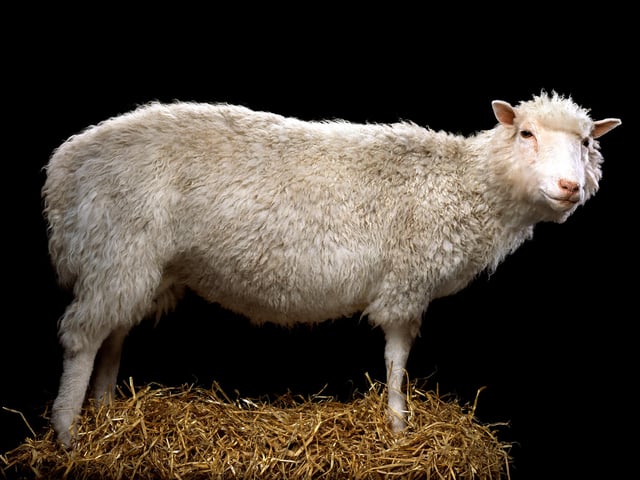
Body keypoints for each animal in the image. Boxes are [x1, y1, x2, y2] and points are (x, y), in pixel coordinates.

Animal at [42, 91, 621, 447]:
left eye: (587, 143)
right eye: (525, 134)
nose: (569, 187)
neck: (462, 185)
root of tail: (64, 168)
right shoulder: (405, 283)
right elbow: (396, 361)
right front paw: (398, 429)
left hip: (132, 263)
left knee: (113, 333)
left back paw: (107, 415)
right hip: (116, 245)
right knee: (81, 338)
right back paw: (70, 435)